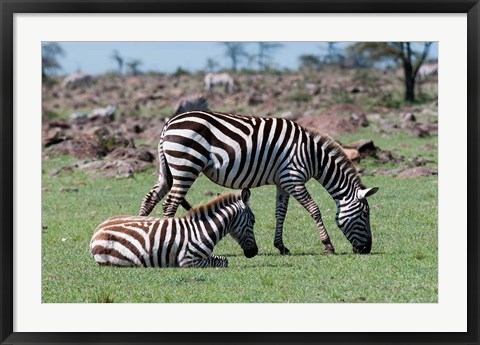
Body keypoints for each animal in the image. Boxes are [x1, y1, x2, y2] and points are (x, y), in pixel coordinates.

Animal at [91, 188, 256, 266]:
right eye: (253, 221)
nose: (254, 252)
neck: (202, 229)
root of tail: (98, 228)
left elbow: (222, 259)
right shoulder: (188, 260)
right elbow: (223, 262)